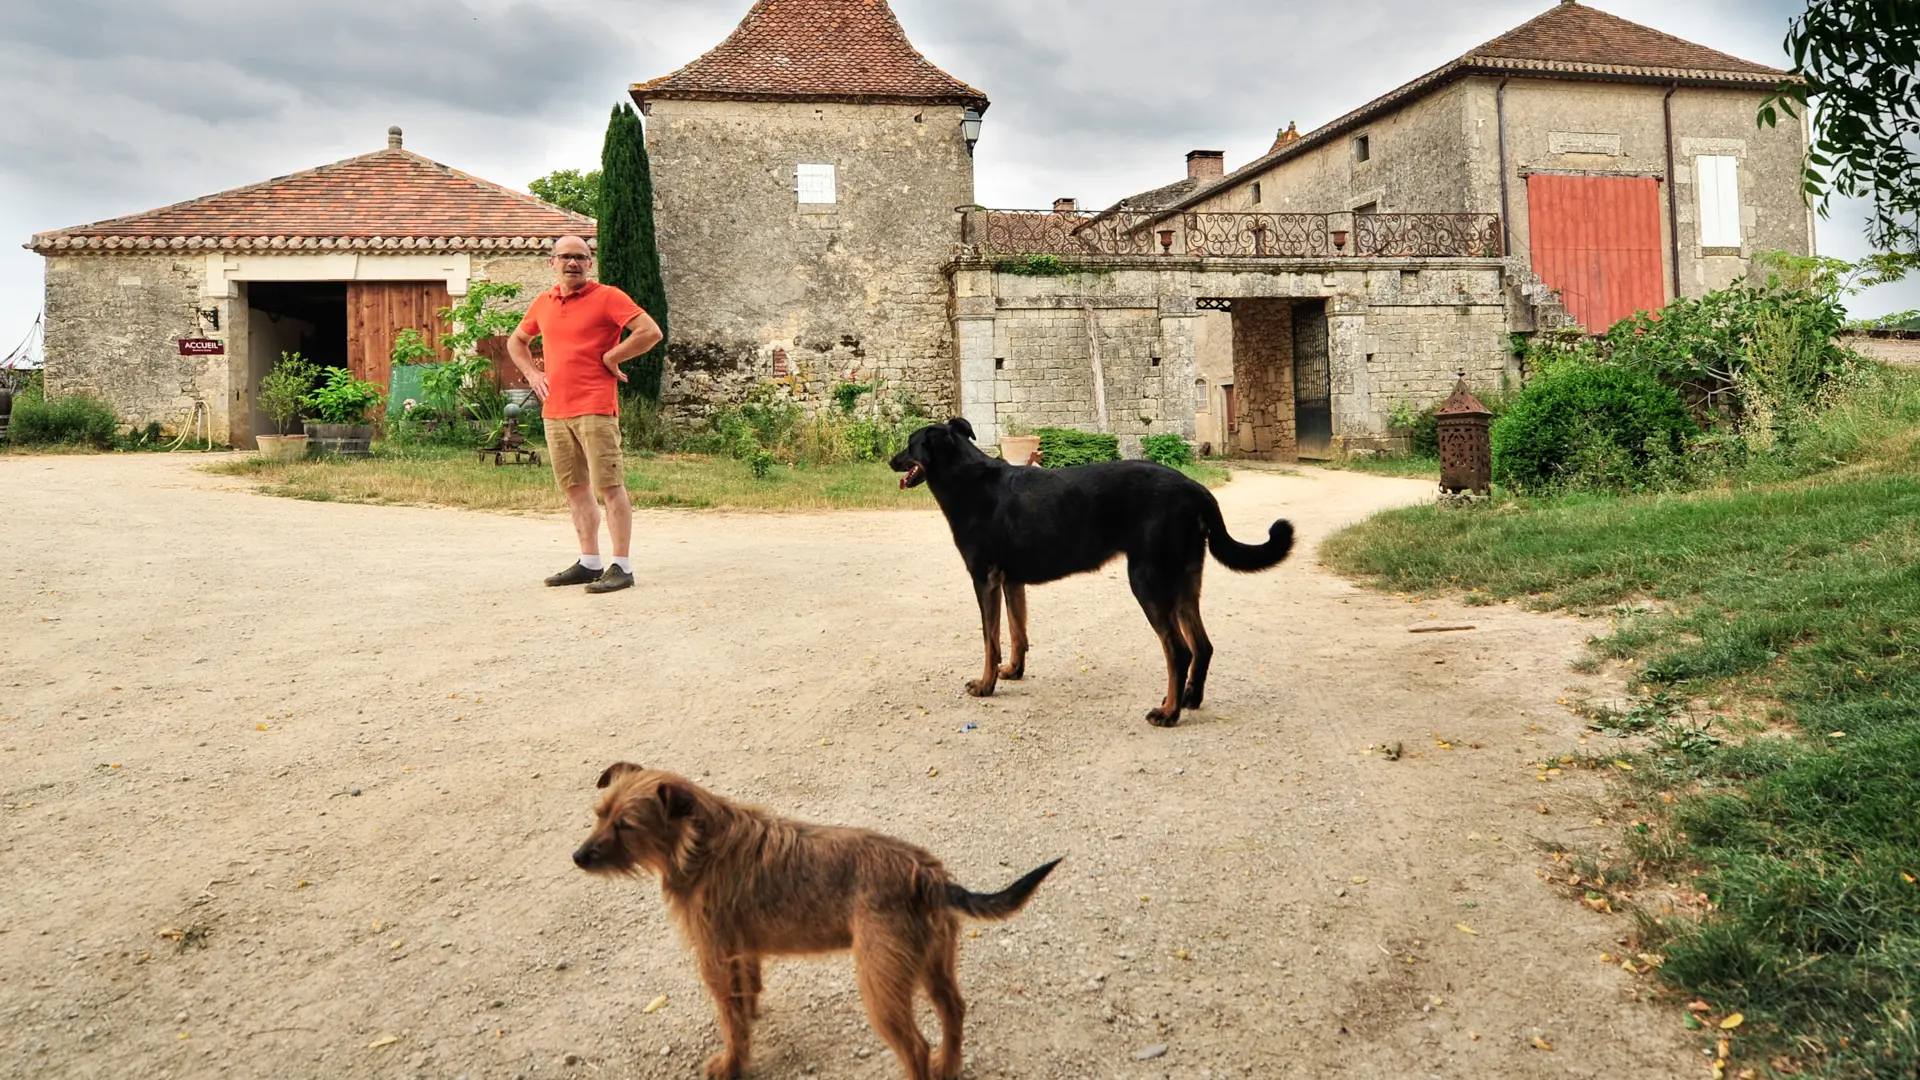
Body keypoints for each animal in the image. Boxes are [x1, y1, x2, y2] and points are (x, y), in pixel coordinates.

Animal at [572, 757, 1067, 1076]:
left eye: (626, 826)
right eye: (599, 815)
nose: (578, 857)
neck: (701, 843)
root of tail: (926, 875)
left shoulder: (714, 958)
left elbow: (731, 1023)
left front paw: (731, 1064)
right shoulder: (740, 951)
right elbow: (747, 996)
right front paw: (752, 1018)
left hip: (880, 987)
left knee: (915, 1048)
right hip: (934, 965)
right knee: (953, 1013)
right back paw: (949, 1066)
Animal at [890, 417, 1297, 726]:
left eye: (910, 444)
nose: (892, 461)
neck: (967, 478)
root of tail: (1195, 488)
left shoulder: (984, 579)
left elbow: (991, 641)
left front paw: (986, 684)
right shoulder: (1011, 582)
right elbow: (1018, 632)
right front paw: (1013, 671)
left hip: (1148, 582)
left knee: (1179, 651)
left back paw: (1168, 712)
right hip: (1183, 583)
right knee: (1203, 646)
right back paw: (1189, 699)